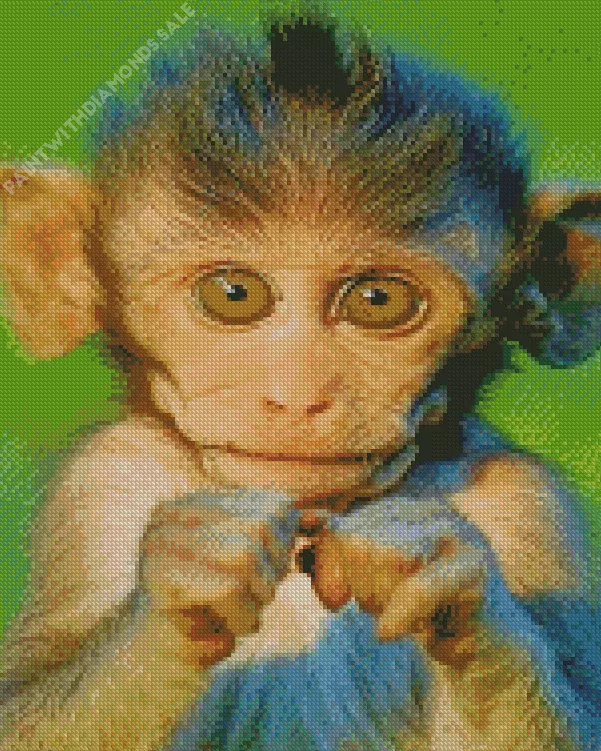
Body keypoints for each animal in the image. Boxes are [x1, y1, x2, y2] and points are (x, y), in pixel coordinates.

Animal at [1, 11, 601, 751]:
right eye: (234, 294)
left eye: (377, 300)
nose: (299, 396)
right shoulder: (98, 485)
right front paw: (185, 580)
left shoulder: (529, 503)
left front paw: (440, 571)